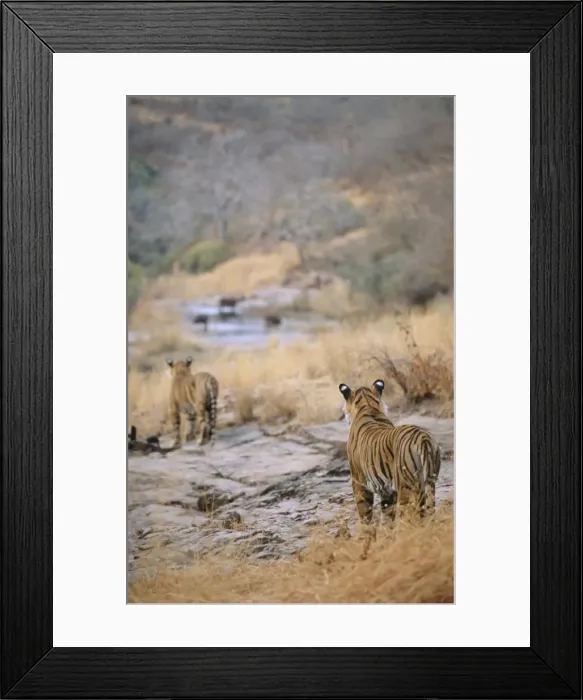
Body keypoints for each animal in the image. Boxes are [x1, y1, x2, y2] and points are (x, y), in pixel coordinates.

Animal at [339, 378, 441, 526]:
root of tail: (423, 438)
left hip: (407, 488)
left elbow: (365, 514)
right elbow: (387, 517)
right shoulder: (388, 492)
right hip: (430, 484)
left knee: (410, 519)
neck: (368, 405)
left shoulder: (358, 481)